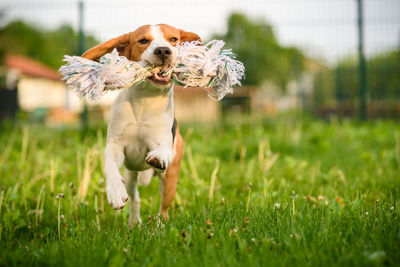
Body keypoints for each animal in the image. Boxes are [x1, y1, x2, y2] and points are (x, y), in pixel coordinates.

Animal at [82, 24, 200, 226]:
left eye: (173, 39)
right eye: (143, 41)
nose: (163, 50)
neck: (146, 99)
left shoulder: (163, 143)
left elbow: (162, 150)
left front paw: (158, 157)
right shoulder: (115, 145)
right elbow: (109, 166)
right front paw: (115, 193)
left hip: (170, 179)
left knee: (164, 209)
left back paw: (160, 226)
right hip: (130, 175)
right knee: (135, 197)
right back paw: (134, 222)